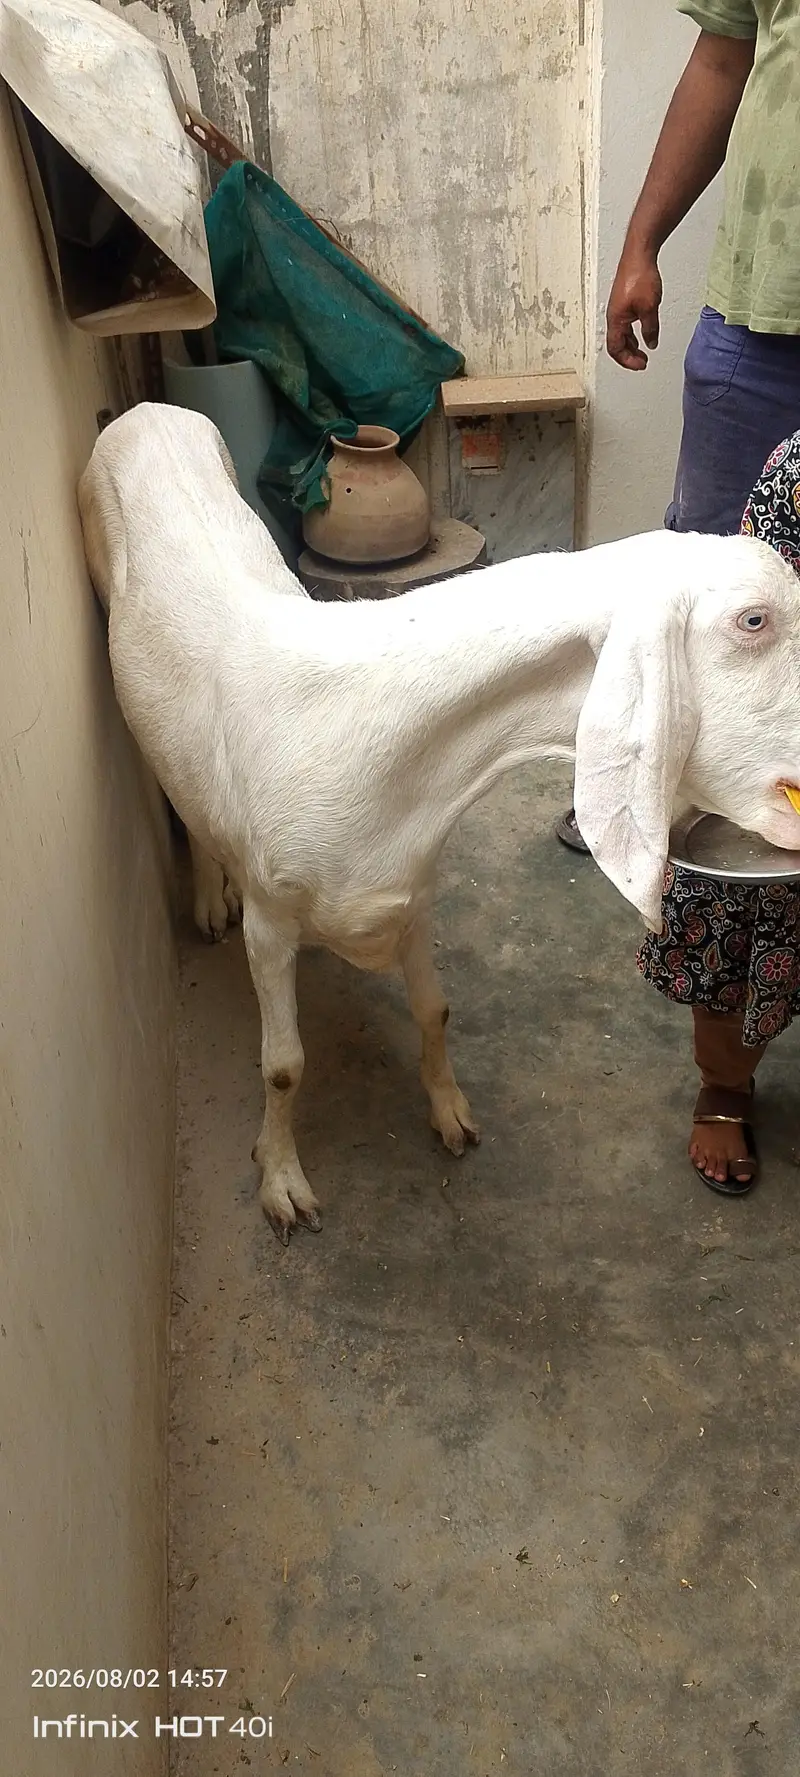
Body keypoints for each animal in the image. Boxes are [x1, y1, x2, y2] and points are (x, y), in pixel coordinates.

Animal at [78, 404, 800, 1241]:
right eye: (753, 620)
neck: (379, 741)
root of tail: (143, 412)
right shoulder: (271, 920)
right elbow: (283, 1066)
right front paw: (282, 1179)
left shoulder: (413, 892)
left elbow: (434, 1008)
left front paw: (451, 1113)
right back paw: (205, 897)